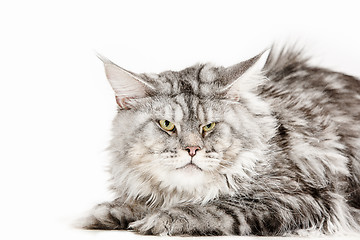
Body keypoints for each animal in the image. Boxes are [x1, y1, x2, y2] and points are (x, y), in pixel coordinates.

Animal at [81, 45, 360, 236]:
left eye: (209, 126)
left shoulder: (303, 199)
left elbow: (217, 207)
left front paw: (159, 219)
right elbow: (140, 200)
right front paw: (110, 211)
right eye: (167, 125)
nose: (192, 149)